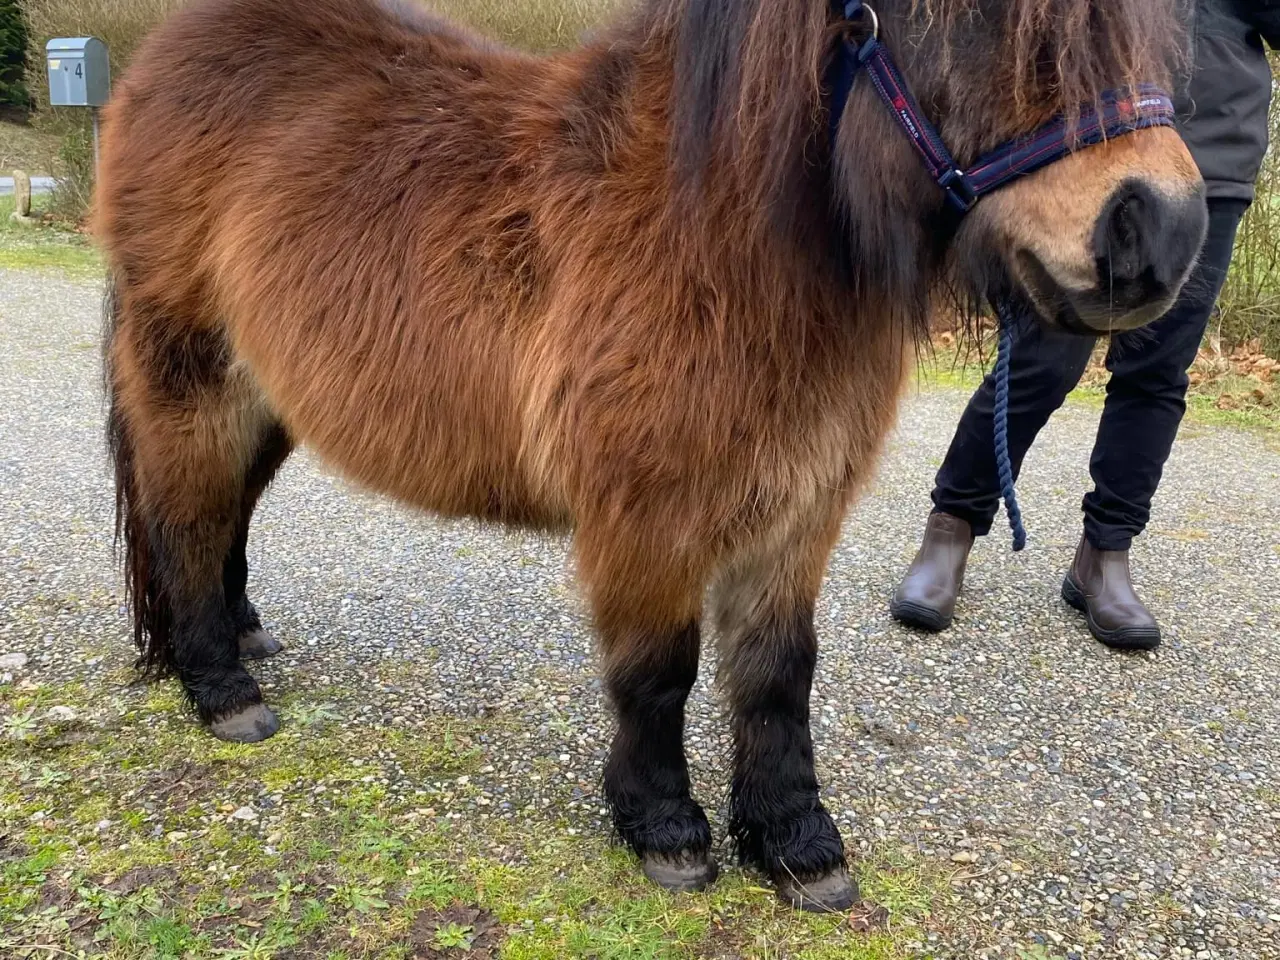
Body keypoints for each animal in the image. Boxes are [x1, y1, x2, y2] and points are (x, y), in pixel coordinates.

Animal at [94, 0, 1203, 911]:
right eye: (980, 20)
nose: (1162, 231)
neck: (714, 239)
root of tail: (161, 57)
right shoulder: (649, 515)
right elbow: (659, 673)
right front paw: (665, 828)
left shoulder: (796, 508)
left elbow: (776, 674)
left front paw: (797, 843)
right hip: (191, 374)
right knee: (185, 516)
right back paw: (221, 688)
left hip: (268, 393)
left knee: (227, 512)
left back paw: (242, 635)